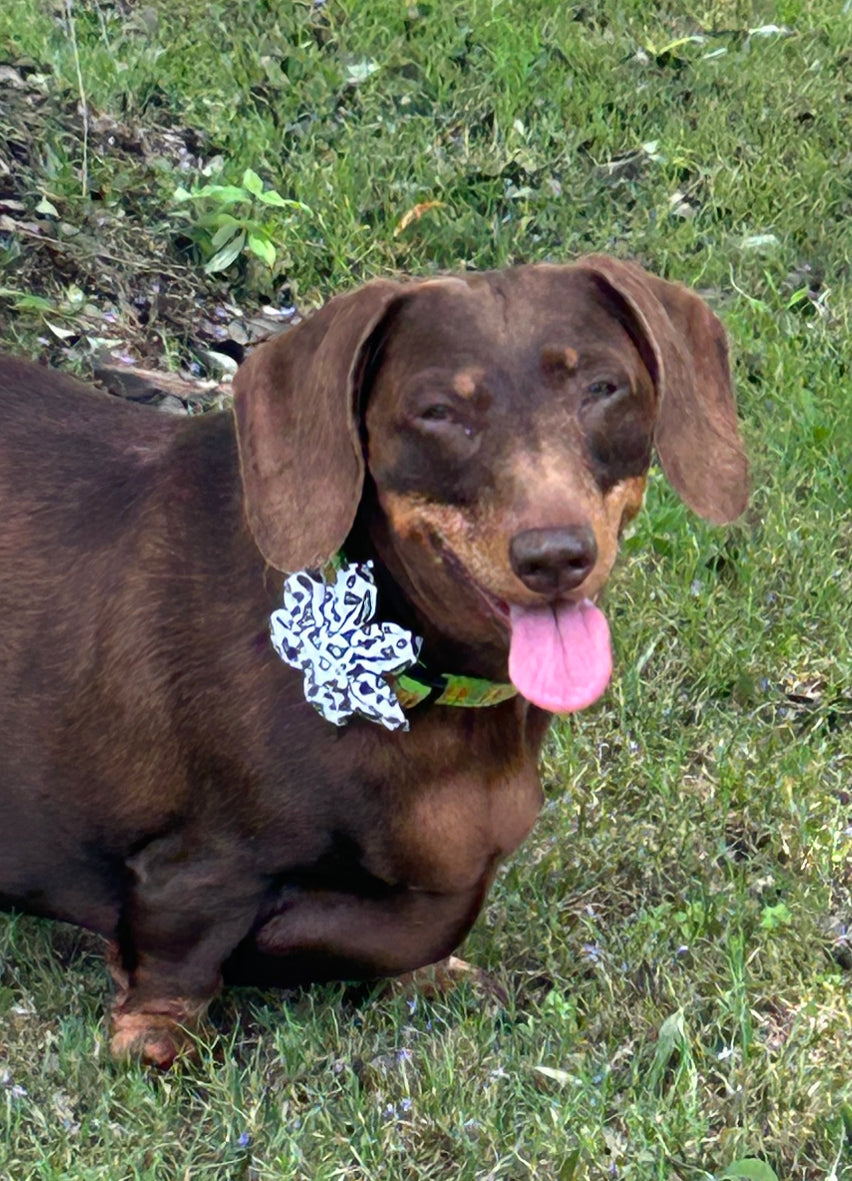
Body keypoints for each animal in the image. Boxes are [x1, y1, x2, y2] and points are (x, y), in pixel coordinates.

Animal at [0, 256, 746, 1062]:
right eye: (438, 412)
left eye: (603, 388)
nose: (555, 557)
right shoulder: (198, 868)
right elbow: (188, 954)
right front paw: (157, 1029)